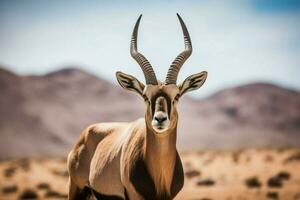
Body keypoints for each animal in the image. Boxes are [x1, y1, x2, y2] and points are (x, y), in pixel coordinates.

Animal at [67, 13, 209, 199]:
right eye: (145, 96)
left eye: (177, 96)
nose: (160, 119)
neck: (160, 179)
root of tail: (85, 133)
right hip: (76, 189)